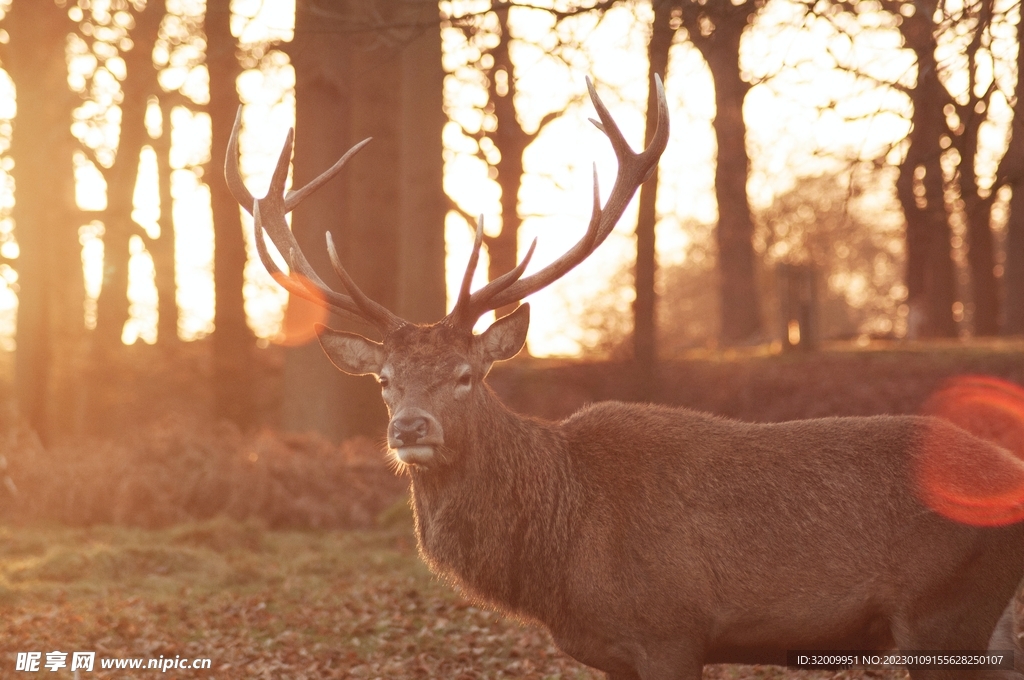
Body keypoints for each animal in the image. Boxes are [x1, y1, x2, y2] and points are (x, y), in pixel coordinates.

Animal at [225, 77, 1024, 680]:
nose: (410, 428)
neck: (559, 559)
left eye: (464, 375)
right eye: (385, 380)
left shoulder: (672, 629)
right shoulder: (612, 651)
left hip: (944, 610)